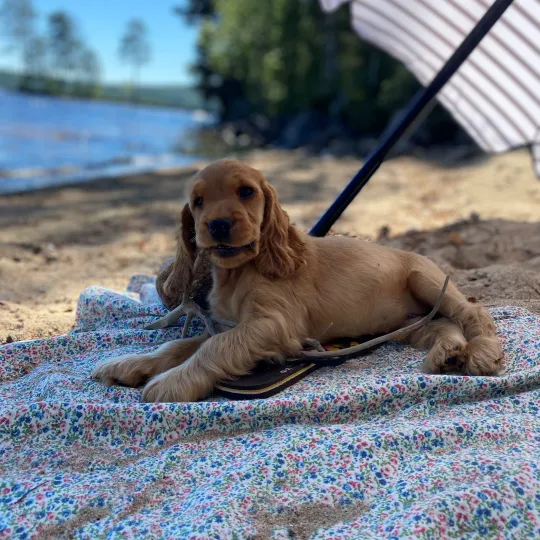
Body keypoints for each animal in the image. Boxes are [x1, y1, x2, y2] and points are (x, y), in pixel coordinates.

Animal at [92, 158, 502, 398]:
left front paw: (171, 382)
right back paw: (447, 354)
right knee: (444, 325)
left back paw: (481, 352)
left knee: (473, 314)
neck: (240, 271)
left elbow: (212, 348)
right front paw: (130, 364)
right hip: (408, 324)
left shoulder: (273, 325)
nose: (218, 225)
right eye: (198, 202)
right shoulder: (231, 325)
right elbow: (178, 346)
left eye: (246, 192)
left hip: (425, 280)